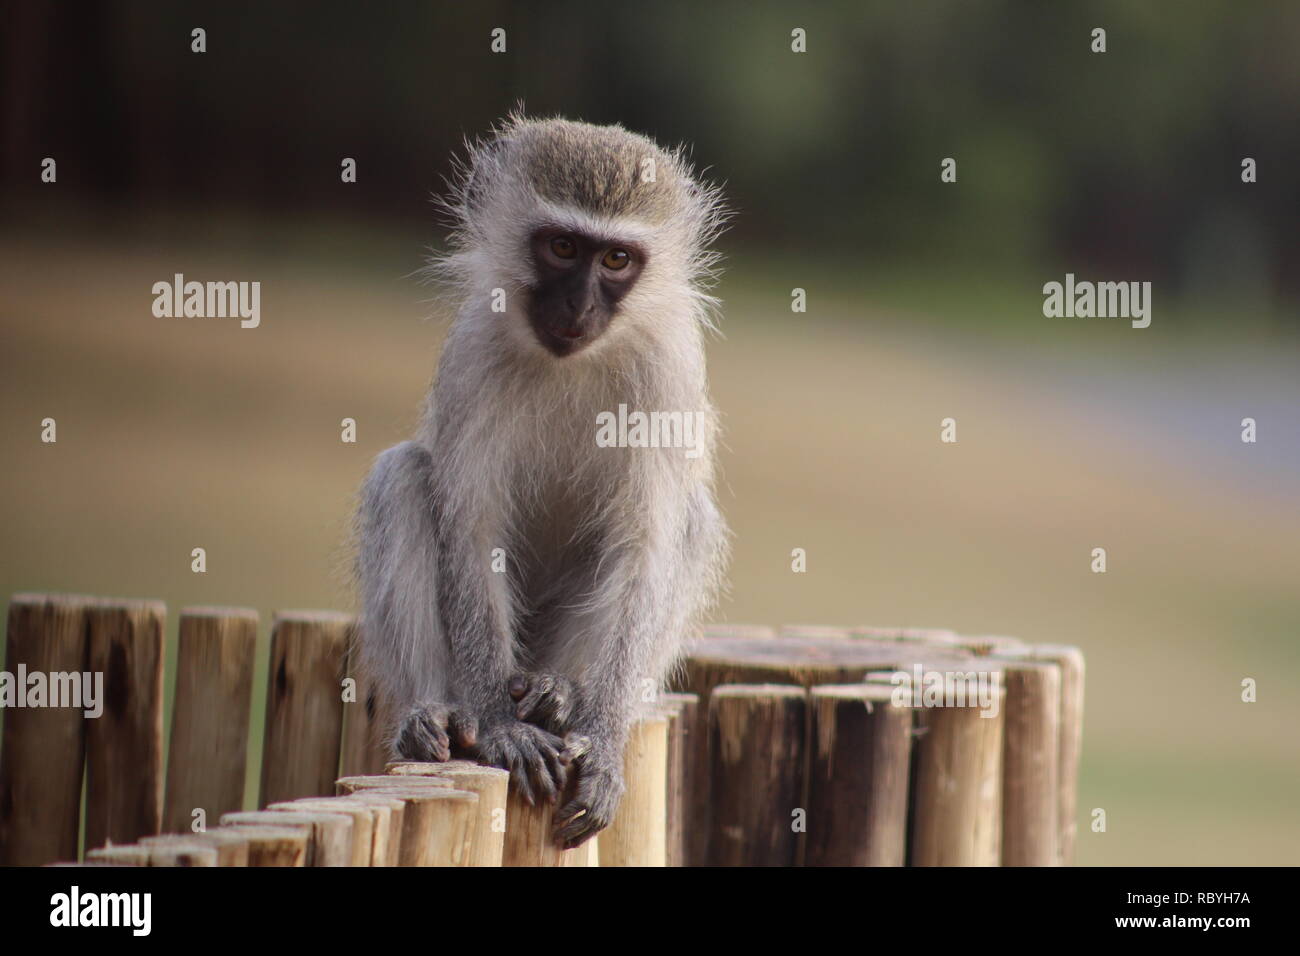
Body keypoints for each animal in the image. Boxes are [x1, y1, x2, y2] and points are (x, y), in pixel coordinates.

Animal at [351, 115, 728, 848]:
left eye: (616, 260)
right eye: (561, 247)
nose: (578, 305)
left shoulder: (668, 368)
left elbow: (644, 545)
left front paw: (602, 740)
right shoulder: (474, 352)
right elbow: (471, 527)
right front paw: (499, 723)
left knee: (690, 522)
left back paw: (559, 694)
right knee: (403, 477)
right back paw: (439, 714)